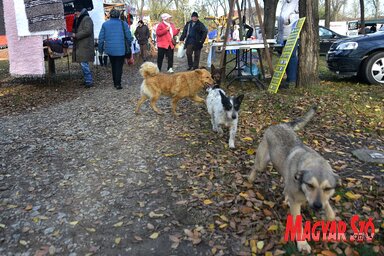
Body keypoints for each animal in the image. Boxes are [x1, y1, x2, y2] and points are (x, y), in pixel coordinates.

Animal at [248, 107, 338, 253]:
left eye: (328, 188)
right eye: (310, 185)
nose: (317, 206)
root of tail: (280, 124)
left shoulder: (323, 199)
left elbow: (331, 214)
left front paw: (329, 219)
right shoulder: (296, 204)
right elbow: (298, 225)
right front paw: (302, 244)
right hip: (262, 163)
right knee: (255, 169)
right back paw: (250, 179)